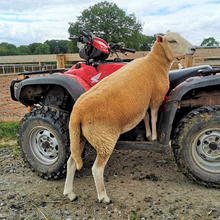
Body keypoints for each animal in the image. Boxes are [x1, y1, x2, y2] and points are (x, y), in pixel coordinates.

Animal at [62, 30, 195, 203]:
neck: (155, 62)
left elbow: (146, 117)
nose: (193, 49)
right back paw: (103, 197)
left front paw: (147, 134)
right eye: (172, 41)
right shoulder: (156, 97)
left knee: (71, 162)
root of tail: (77, 112)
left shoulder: (144, 101)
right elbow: (153, 116)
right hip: (104, 138)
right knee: (96, 169)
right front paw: (154, 136)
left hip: (79, 136)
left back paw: (69, 193)